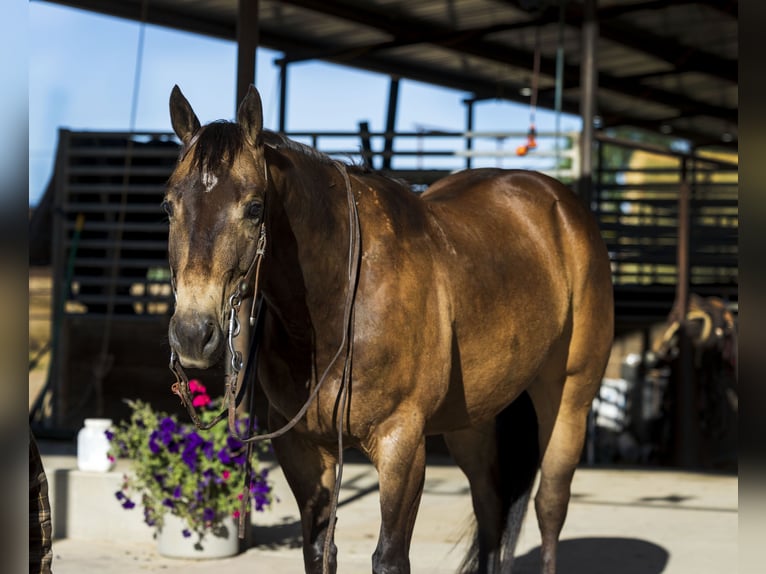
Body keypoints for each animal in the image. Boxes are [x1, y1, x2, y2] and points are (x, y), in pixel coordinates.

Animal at [164, 85, 616, 574]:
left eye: (253, 207)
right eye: (168, 205)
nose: (193, 334)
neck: (340, 299)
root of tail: (561, 206)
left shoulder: (402, 444)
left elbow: (390, 557)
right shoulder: (303, 448)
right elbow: (319, 550)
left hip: (568, 399)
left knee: (550, 506)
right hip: (473, 421)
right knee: (491, 508)